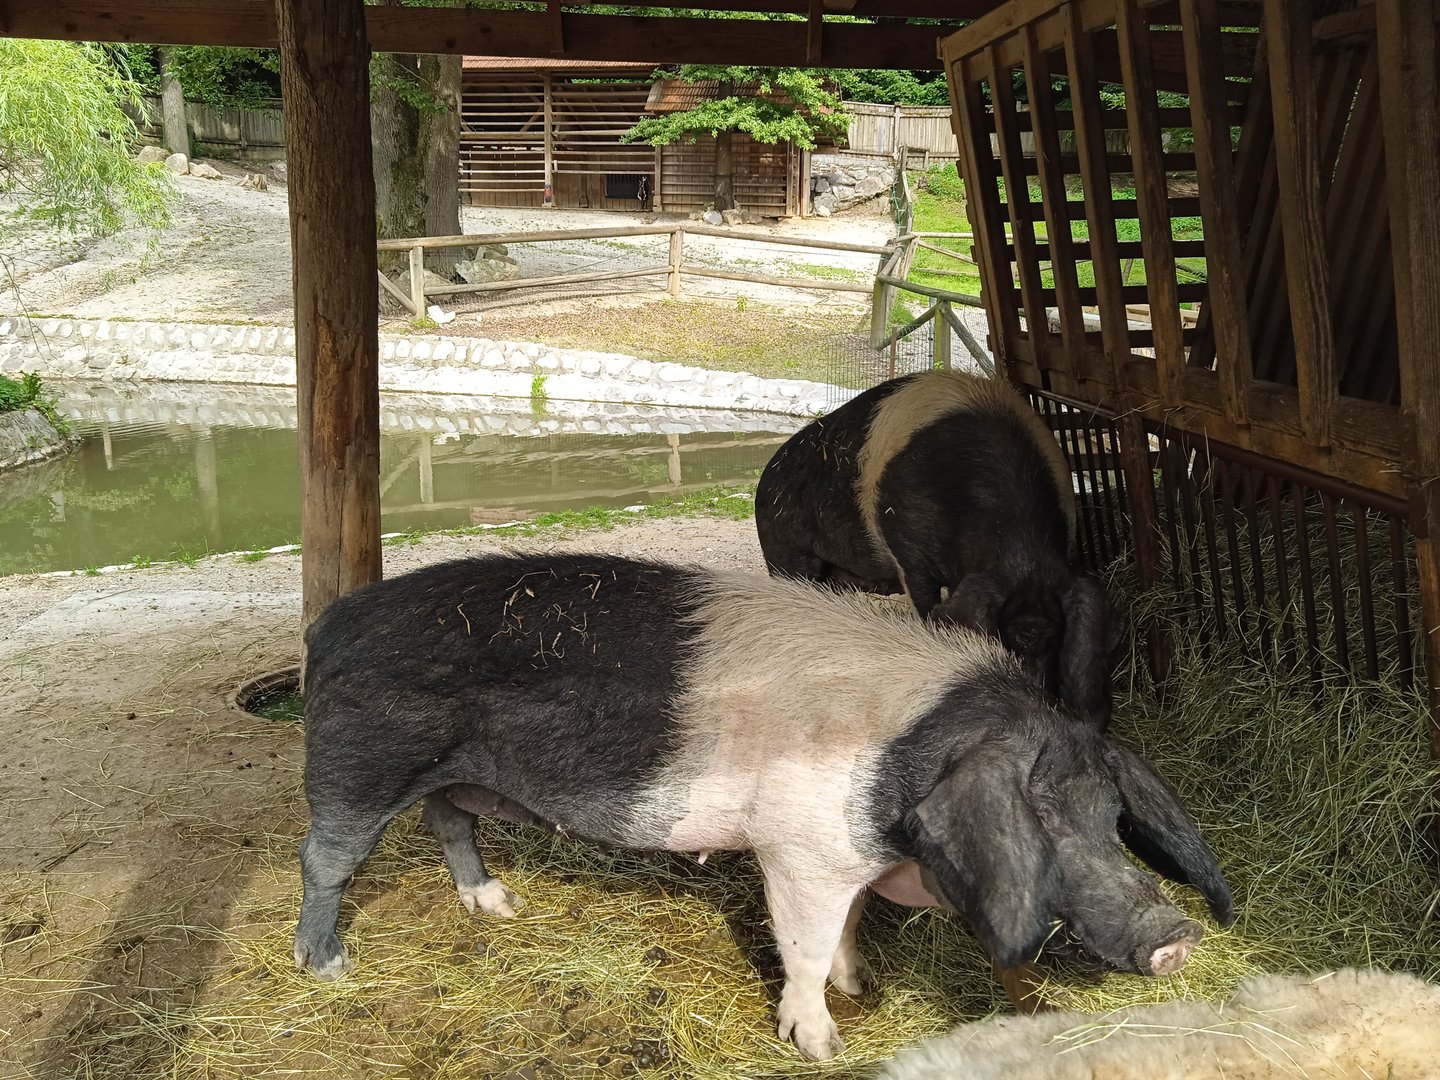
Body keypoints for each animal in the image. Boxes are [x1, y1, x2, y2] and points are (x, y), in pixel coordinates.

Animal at [293, 553, 1233, 1061]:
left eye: (1110, 820)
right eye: (1041, 822)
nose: (1176, 934)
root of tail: (329, 626)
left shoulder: (843, 858)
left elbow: (849, 926)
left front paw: (863, 983)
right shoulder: (799, 848)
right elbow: (806, 947)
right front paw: (824, 1042)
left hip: (445, 775)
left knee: (449, 821)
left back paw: (497, 905)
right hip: (358, 761)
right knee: (326, 858)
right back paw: (326, 966)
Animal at [755, 370, 1115, 728]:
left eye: (1053, 640)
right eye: (1007, 637)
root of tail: (768, 471)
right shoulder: (908, 557)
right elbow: (925, 603)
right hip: (784, 555)